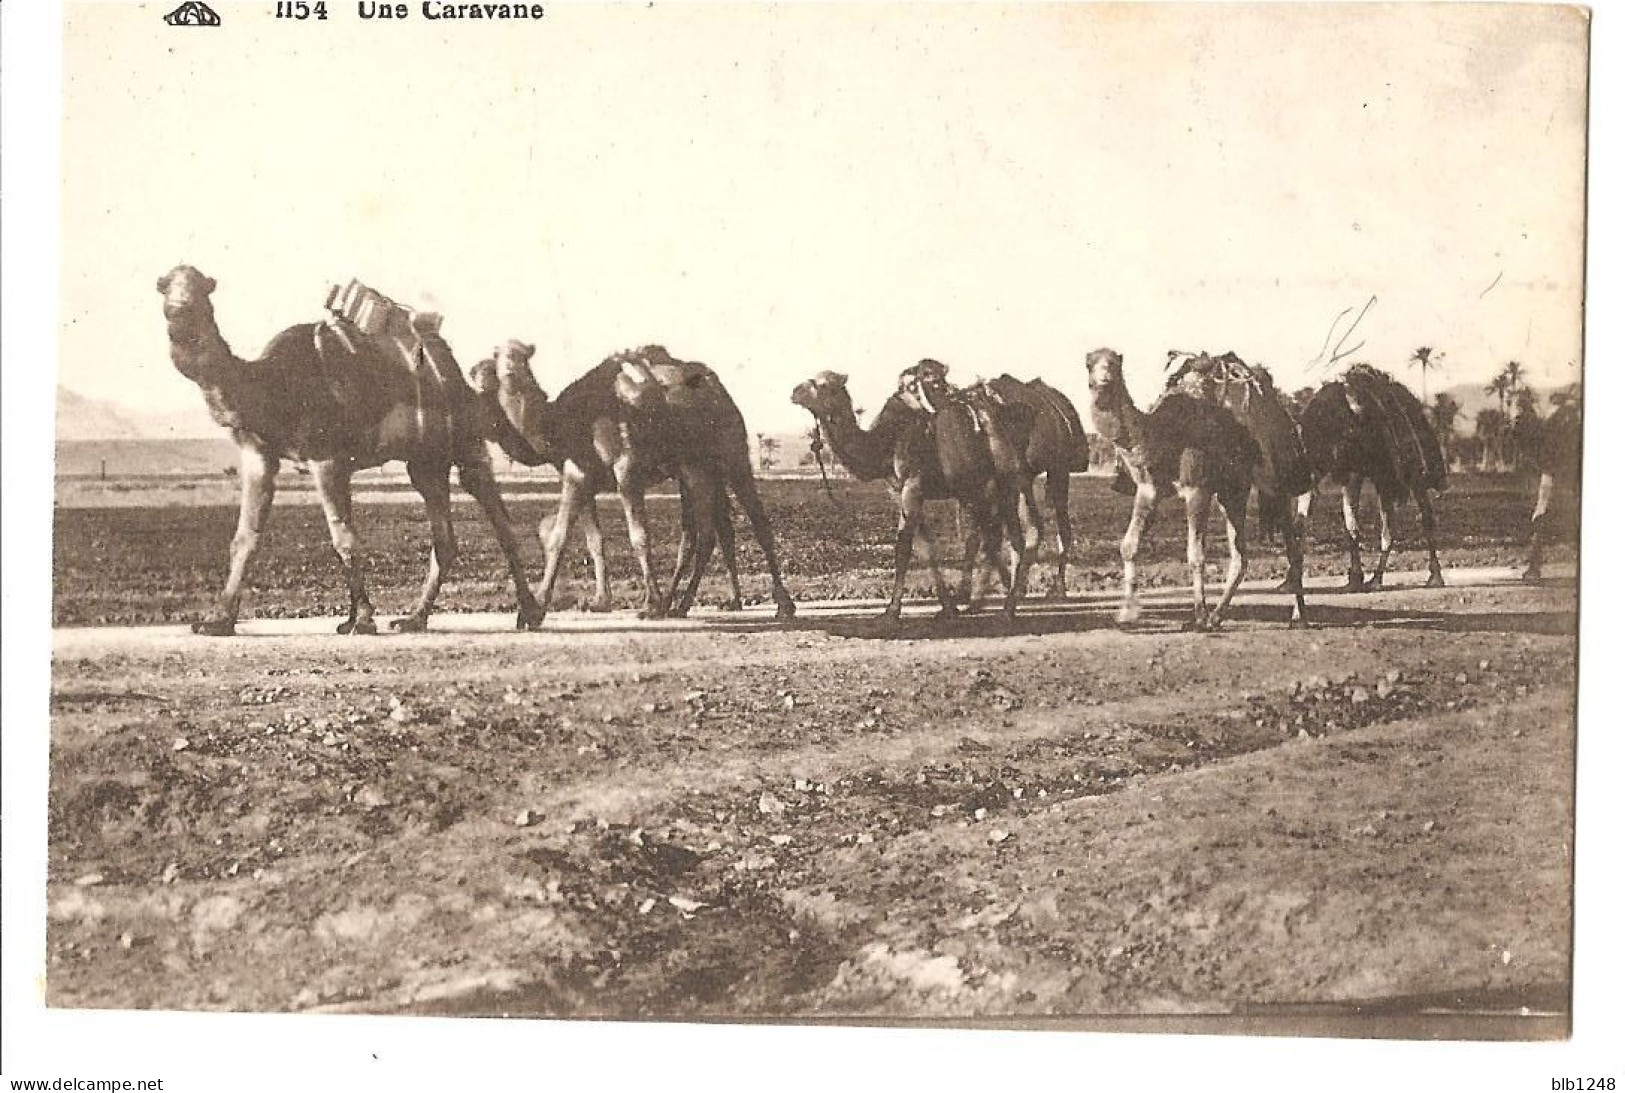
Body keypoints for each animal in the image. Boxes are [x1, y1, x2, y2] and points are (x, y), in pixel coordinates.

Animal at [159, 264, 552, 636]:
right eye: (166, 286)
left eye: (200, 291)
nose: (179, 307)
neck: (273, 384)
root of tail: (457, 378)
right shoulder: (259, 455)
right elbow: (244, 539)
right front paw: (216, 621)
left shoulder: (327, 458)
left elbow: (344, 538)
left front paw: (361, 619)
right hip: (426, 461)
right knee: (444, 538)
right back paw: (413, 618)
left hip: (466, 444)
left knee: (499, 519)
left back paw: (529, 612)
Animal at [477, 341, 796, 623]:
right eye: (497, 356)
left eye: (521, 358)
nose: (501, 372)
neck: (566, 421)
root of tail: (715, 386)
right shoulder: (578, 474)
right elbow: (574, 538)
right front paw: (573, 604)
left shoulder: (626, 467)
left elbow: (639, 537)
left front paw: (650, 605)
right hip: (696, 469)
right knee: (705, 533)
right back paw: (681, 605)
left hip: (732, 452)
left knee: (756, 523)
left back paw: (783, 604)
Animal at [793, 370, 1020, 617]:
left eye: (822, 384)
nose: (795, 392)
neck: (885, 442)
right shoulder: (898, 491)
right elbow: (927, 548)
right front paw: (947, 606)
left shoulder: (913, 486)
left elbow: (903, 547)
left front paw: (892, 609)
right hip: (977, 488)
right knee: (990, 534)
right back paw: (983, 598)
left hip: (1001, 483)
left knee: (1006, 536)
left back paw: (1003, 602)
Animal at [1085, 345, 1274, 626]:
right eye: (1090, 364)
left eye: (1114, 364)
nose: (1104, 377)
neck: (1159, 436)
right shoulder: (1148, 489)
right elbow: (1128, 546)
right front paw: (1127, 611)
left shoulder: (1197, 488)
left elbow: (1196, 556)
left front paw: (1199, 614)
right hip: (1228, 493)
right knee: (1241, 555)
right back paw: (1218, 615)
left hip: (1239, 487)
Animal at [1293, 362, 1449, 587]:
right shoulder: (1338, 469)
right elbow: (1347, 524)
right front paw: (1354, 578)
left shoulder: (1366, 471)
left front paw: (1362, 577)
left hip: (1409, 474)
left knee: (1423, 516)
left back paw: (1432, 576)